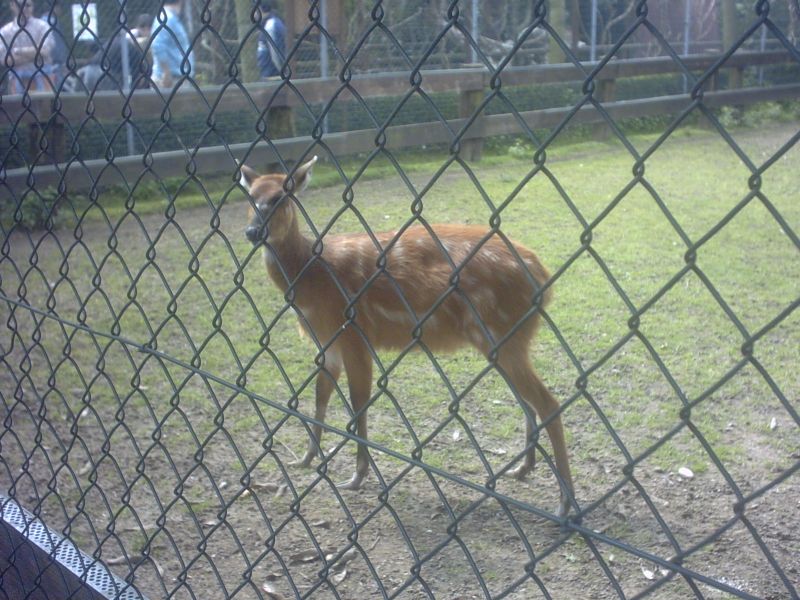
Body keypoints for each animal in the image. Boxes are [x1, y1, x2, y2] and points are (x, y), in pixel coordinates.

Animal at [241, 157, 572, 516]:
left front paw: (356, 477)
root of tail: (543, 277)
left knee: (548, 403)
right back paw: (522, 469)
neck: (311, 276)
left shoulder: (354, 334)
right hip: (499, 342)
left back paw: (563, 503)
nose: (252, 232)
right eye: (251, 197)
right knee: (528, 402)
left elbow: (358, 403)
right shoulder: (327, 344)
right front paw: (304, 460)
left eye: (281, 198)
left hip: (505, 333)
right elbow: (319, 398)